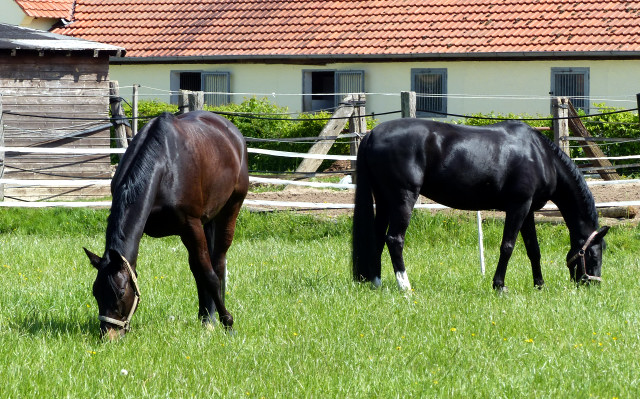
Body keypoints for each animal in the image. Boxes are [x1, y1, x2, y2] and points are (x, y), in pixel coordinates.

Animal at [83, 111, 248, 340]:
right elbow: (200, 271)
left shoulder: (191, 225)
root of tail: (233, 133)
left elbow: (209, 276)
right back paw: (207, 316)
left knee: (218, 263)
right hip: (207, 219)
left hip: (231, 208)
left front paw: (229, 323)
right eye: (96, 291)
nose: (109, 335)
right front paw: (209, 317)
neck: (165, 166)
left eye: (120, 292)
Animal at [352, 118, 608, 290]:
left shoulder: (528, 211)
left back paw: (376, 282)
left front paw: (539, 285)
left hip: (383, 200)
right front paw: (499, 285)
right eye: (594, 256)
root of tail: (372, 134)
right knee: (394, 239)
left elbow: (533, 250)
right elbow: (508, 246)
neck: (540, 155)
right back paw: (406, 287)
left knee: (377, 237)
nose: (593, 284)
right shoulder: (518, 207)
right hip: (402, 199)